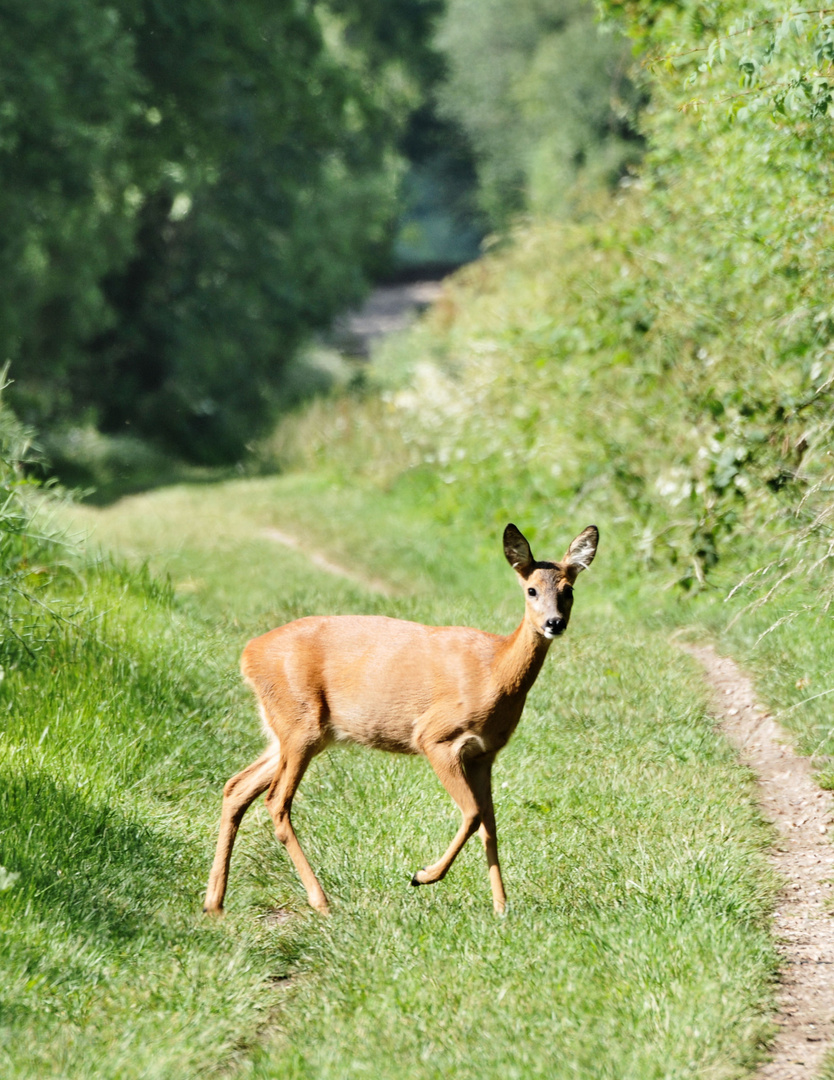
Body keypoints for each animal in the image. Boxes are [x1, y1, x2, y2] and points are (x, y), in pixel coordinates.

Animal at [203, 518, 596, 915]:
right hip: (300, 725)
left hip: (293, 732)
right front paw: (423, 875)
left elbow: (490, 824)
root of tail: (249, 654)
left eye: (568, 590)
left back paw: (214, 903)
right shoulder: (436, 737)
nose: (554, 622)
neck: (495, 673)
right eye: (531, 590)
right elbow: (472, 814)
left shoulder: (484, 754)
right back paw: (321, 901)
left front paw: (501, 907)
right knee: (276, 803)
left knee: (236, 787)